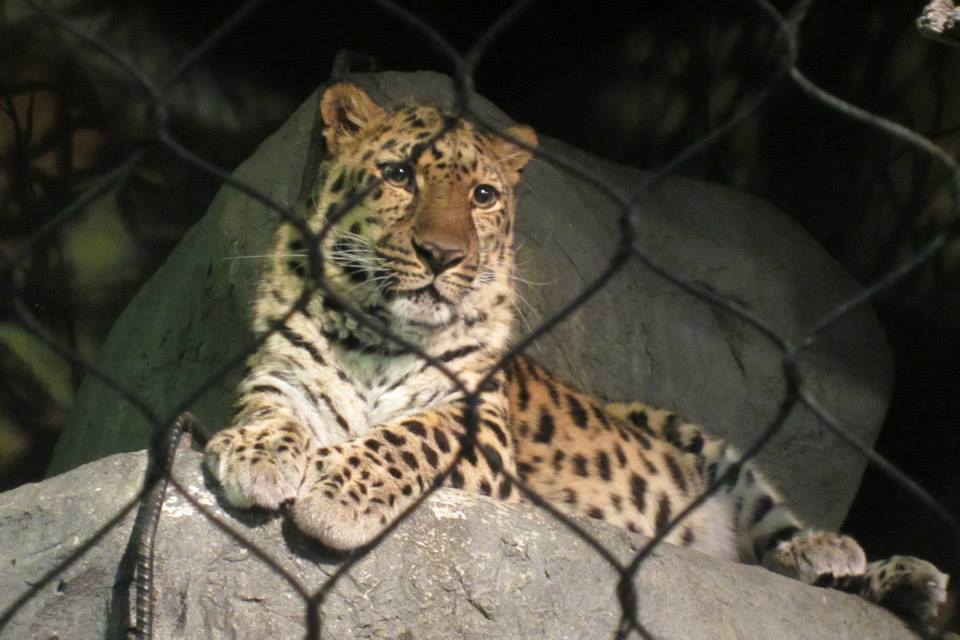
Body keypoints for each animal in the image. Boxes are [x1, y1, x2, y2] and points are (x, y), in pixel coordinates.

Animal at [204, 81, 949, 629]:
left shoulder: (481, 428)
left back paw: (861, 562)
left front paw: (337, 489)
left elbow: (408, 437)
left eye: (483, 196)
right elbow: (274, 414)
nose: (444, 256)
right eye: (397, 175)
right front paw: (258, 453)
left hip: (709, 448)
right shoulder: (281, 376)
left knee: (776, 530)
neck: (379, 336)